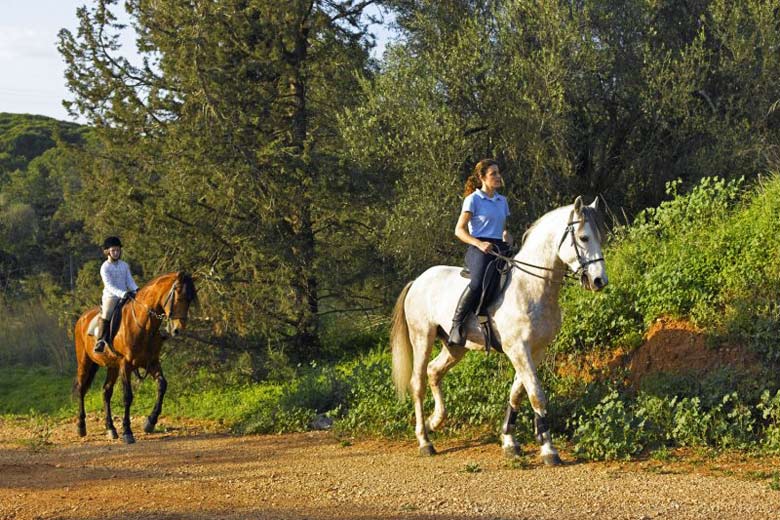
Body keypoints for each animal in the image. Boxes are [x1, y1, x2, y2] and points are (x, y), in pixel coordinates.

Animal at [75, 270, 198, 444]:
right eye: (179, 296)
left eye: (189, 300)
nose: (178, 330)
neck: (143, 324)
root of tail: (81, 318)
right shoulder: (126, 365)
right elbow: (127, 396)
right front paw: (127, 432)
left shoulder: (151, 363)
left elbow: (162, 385)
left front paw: (150, 422)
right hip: (85, 362)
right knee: (81, 389)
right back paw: (81, 426)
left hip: (112, 366)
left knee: (106, 392)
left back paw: (110, 429)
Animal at [390, 196, 608, 464]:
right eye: (584, 238)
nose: (599, 281)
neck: (531, 287)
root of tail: (418, 281)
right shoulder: (518, 349)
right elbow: (536, 395)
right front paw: (549, 450)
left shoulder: (535, 351)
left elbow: (517, 393)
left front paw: (509, 441)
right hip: (422, 338)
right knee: (418, 382)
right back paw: (424, 440)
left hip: (455, 346)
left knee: (434, 371)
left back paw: (435, 421)